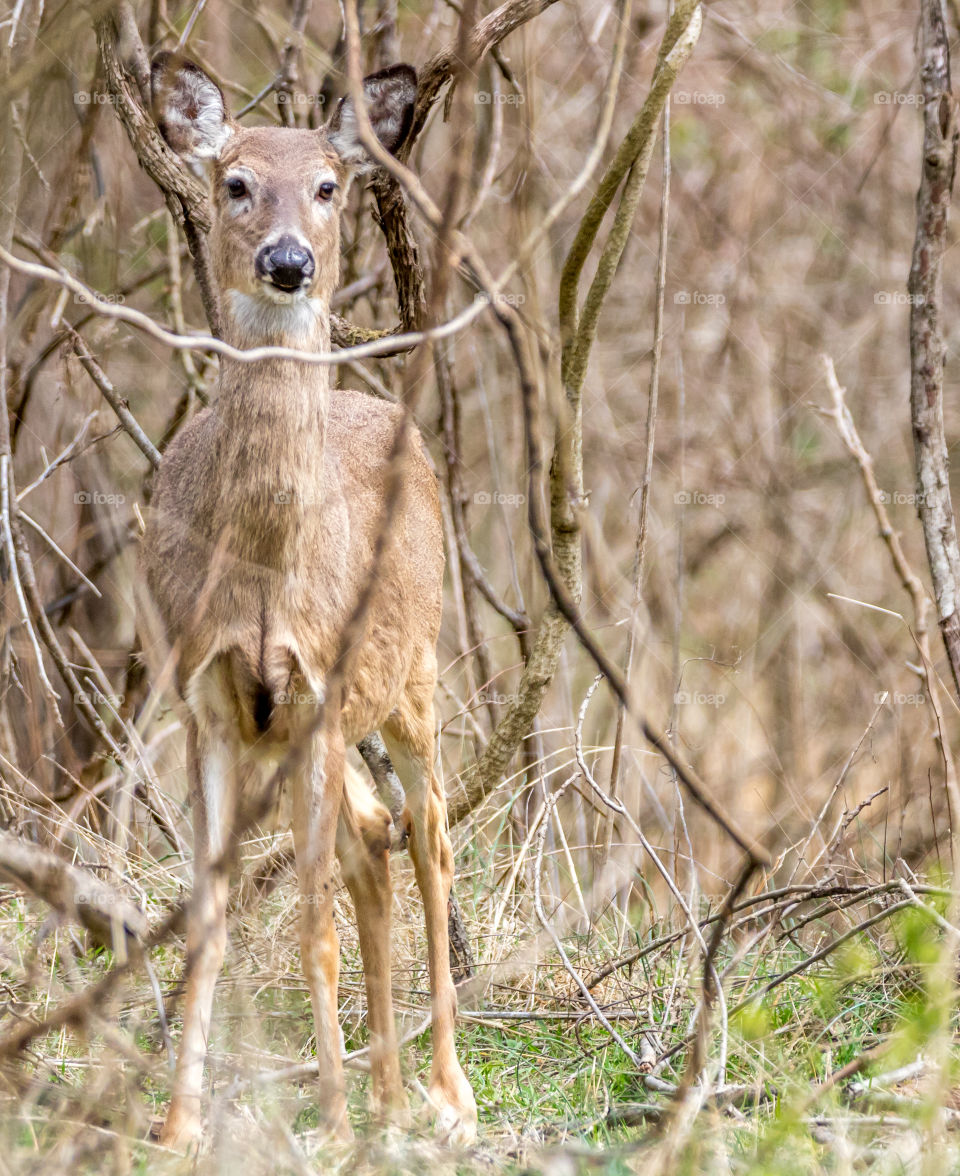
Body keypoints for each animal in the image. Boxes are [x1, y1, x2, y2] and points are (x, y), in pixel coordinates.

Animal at [139, 52, 478, 1149]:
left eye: (329, 186)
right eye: (236, 181)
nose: (288, 260)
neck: (262, 578)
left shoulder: (323, 690)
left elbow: (313, 930)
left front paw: (327, 1127)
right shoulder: (206, 700)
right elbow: (208, 924)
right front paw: (176, 1131)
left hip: (412, 672)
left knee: (429, 835)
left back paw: (445, 1095)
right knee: (375, 839)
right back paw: (386, 1094)